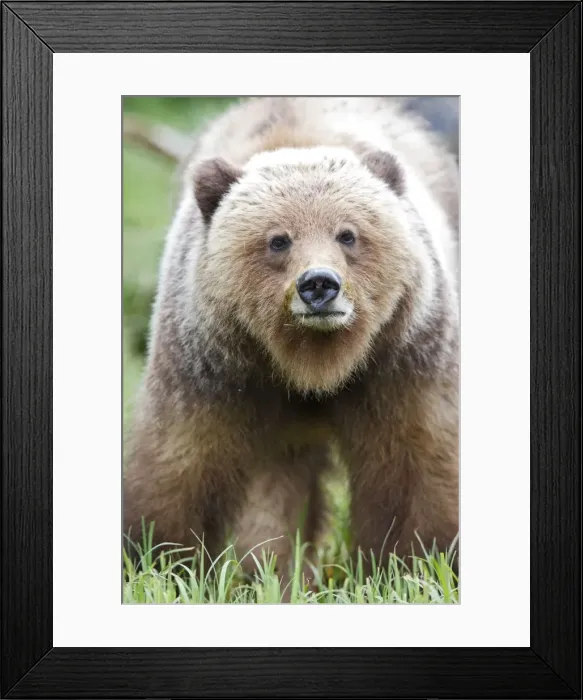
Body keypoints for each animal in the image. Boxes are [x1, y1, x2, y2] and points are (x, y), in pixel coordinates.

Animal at [123, 97, 459, 582]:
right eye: (278, 240)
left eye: (347, 233)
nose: (319, 284)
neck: (313, 363)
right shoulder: (214, 369)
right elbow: (180, 463)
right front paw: (159, 559)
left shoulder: (403, 359)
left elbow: (419, 465)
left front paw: (420, 560)